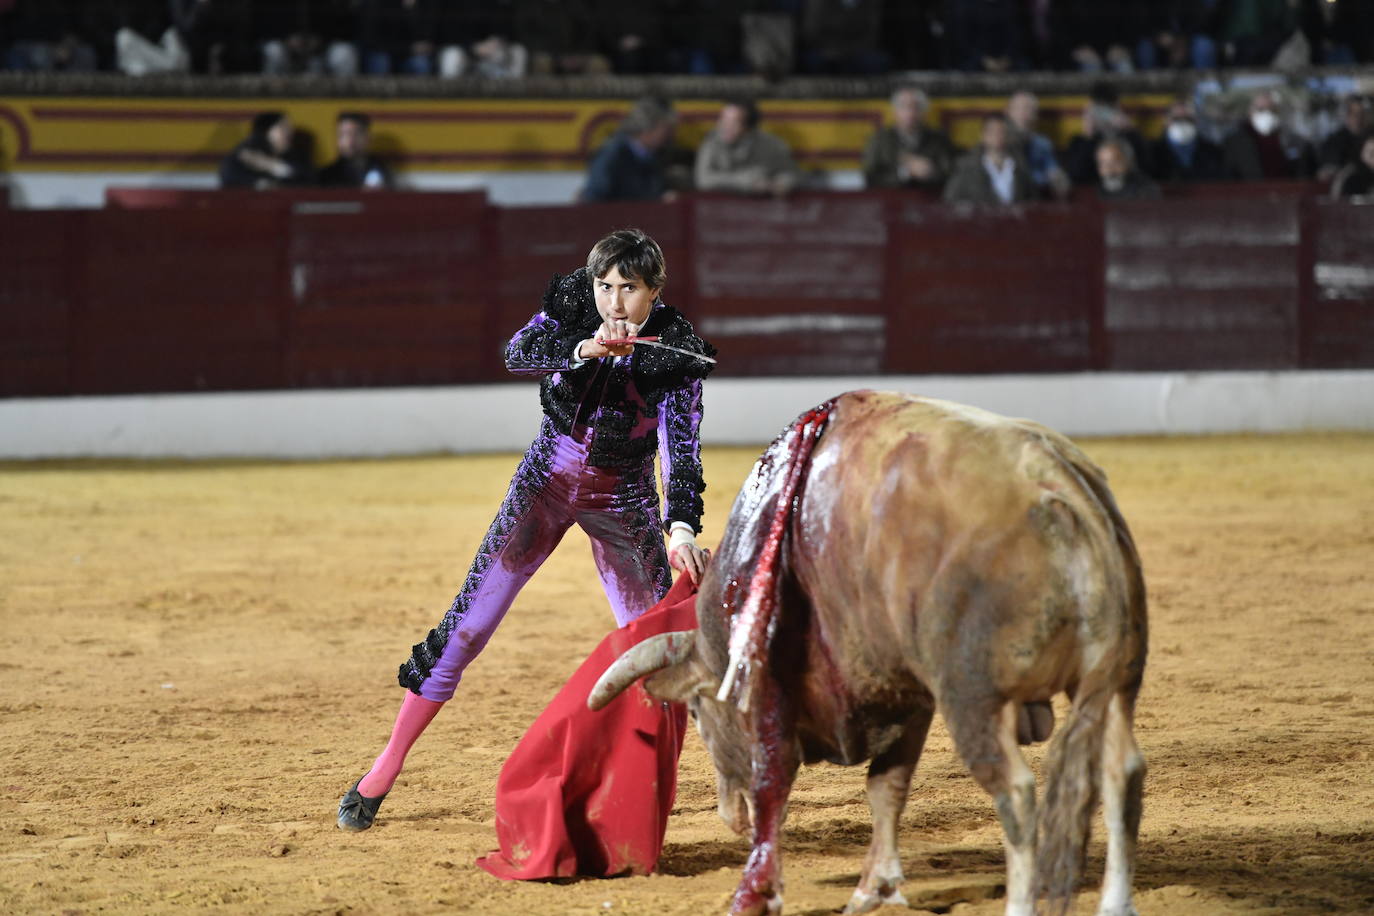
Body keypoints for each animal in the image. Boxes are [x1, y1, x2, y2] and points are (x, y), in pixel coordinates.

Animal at [590, 390, 1148, 911]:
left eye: (699, 714)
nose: (732, 816)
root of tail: (1058, 486)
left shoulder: (773, 689)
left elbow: (777, 783)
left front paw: (759, 891)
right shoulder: (910, 694)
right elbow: (887, 790)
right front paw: (873, 890)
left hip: (973, 697)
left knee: (1016, 792)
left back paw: (1021, 901)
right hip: (1115, 684)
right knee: (1121, 773)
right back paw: (1116, 902)